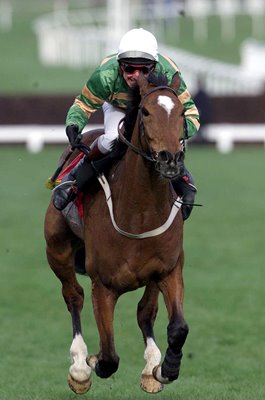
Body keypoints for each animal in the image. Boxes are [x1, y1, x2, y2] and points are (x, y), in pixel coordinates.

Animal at [43, 72, 188, 394]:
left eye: (181, 113)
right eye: (145, 112)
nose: (170, 159)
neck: (140, 213)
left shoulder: (168, 268)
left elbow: (177, 326)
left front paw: (165, 368)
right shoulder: (103, 285)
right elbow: (109, 356)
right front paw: (90, 364)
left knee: (145, 311)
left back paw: (150, 366)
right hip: (57, 249)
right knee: (73, 296)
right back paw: (80, 367)